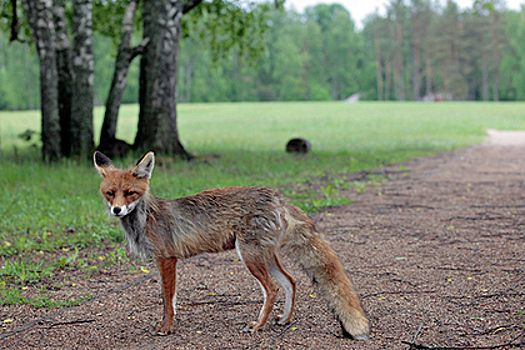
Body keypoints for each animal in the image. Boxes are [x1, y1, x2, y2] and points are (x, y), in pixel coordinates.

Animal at [93, 152, 368, 340]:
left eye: (130, 192)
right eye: (110, 193)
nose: (117, 210)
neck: (145, 219)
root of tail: (278, 197)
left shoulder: (167, 259)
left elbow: (167, 300)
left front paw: (166, 328)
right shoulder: (166, 261)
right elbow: (169, 300)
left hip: (249, 256)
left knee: (273, 288)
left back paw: (259, 326)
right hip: (265, 256)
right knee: (290, 282)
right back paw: (285, 319)